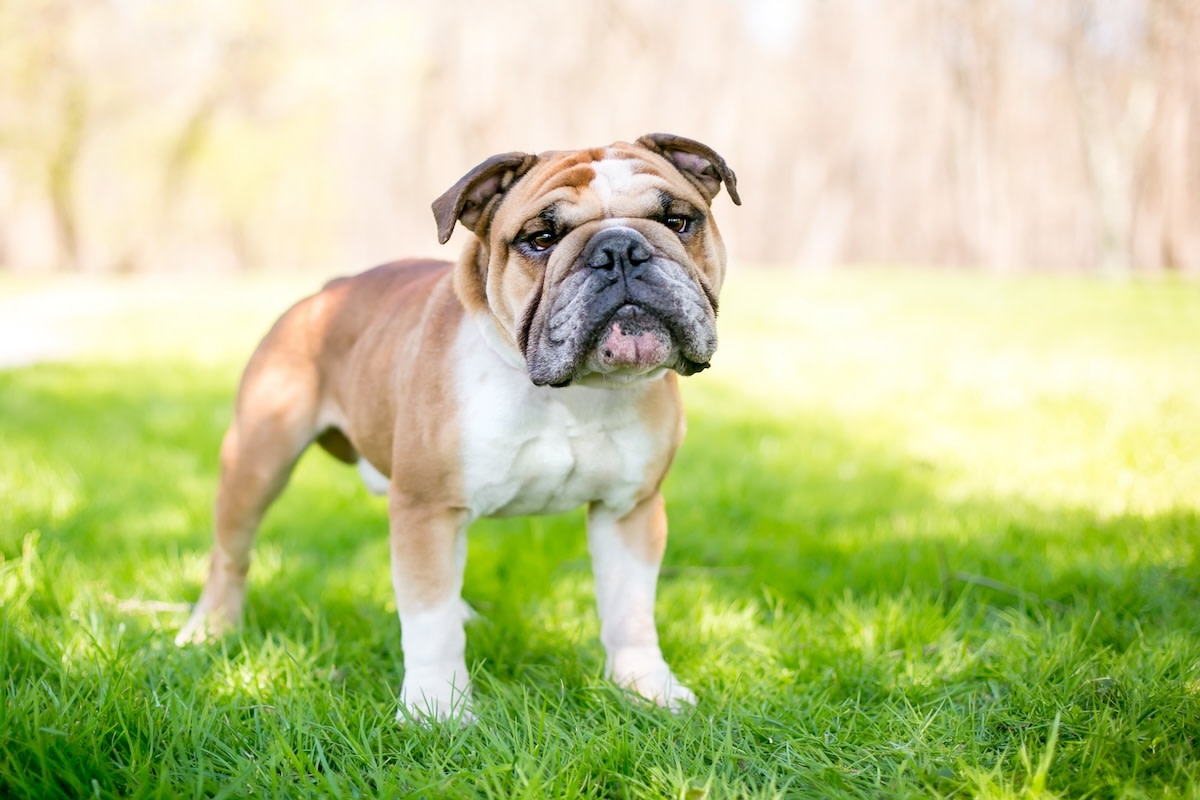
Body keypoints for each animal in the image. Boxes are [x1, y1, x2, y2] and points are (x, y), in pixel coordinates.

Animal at [177, 131, 739, 719]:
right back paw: (208, 629)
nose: (619, 251)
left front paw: (647, 686)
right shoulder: (427, 506)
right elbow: (430, 621)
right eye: (541, 239)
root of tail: (328, 290)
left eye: (678, 221)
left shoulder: (629, 509)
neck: (567, 394)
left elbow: (631, 610)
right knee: (231, 554)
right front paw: (436, 708)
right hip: (257, 462)